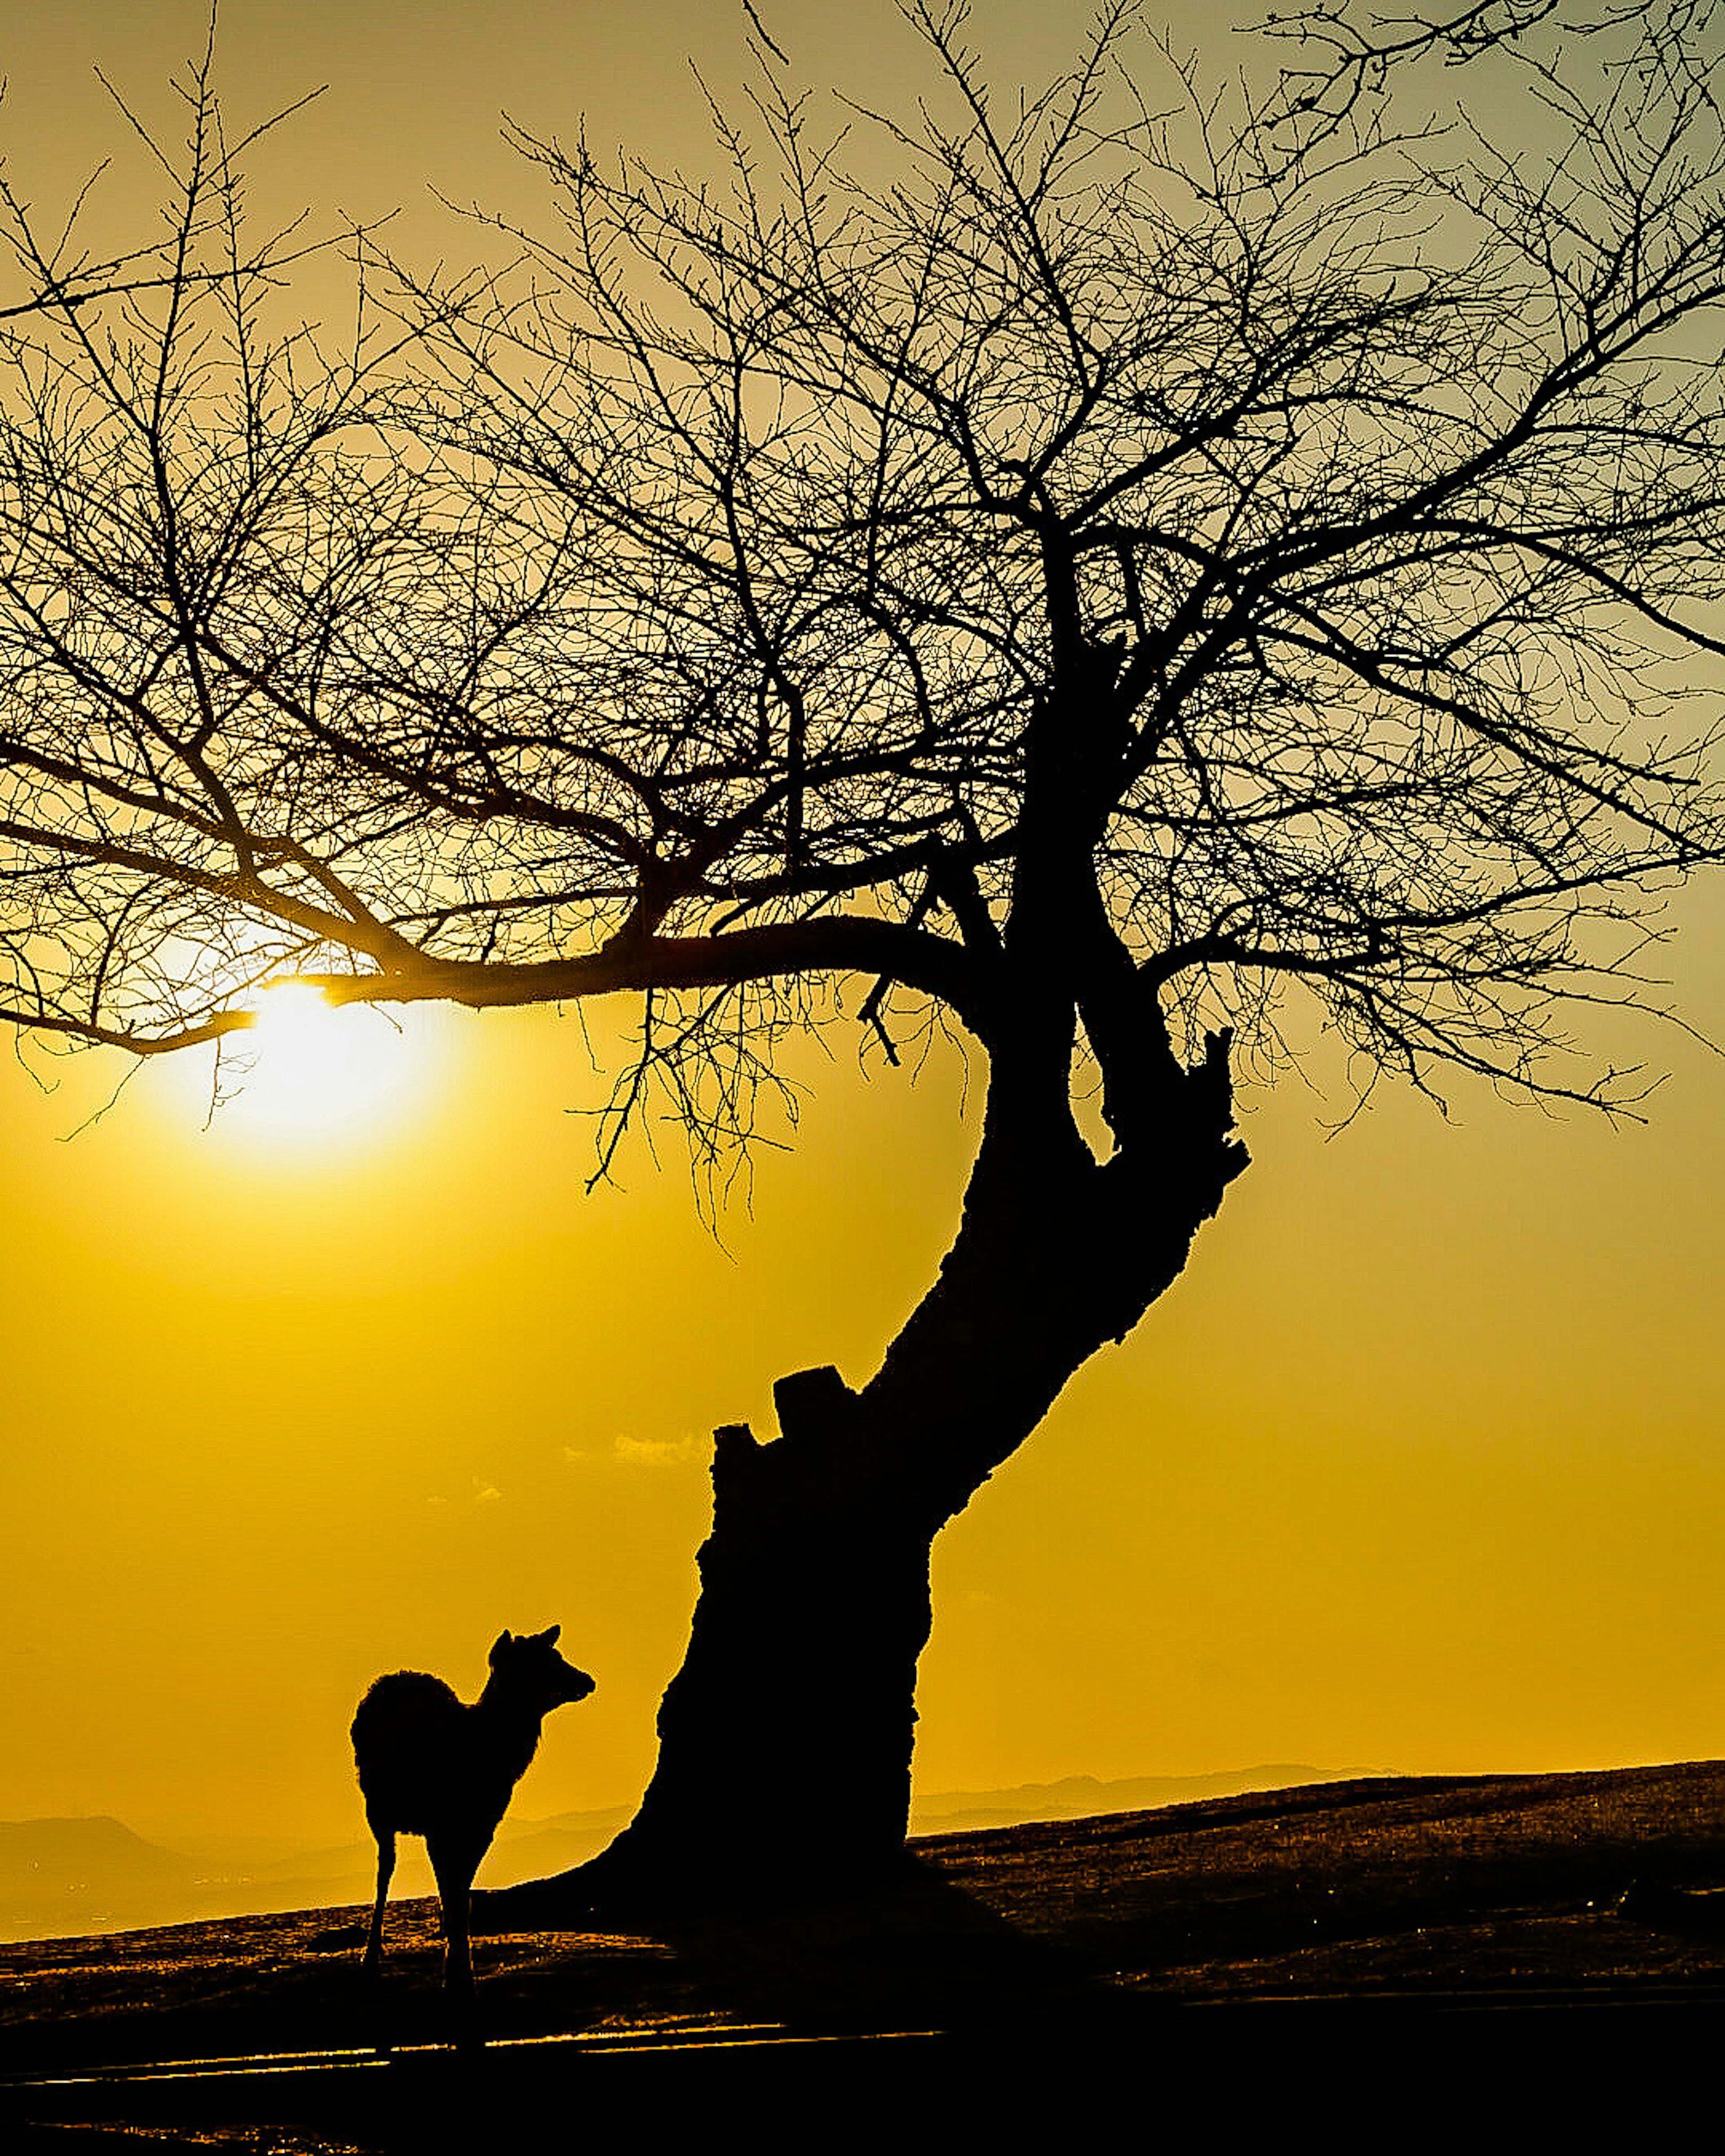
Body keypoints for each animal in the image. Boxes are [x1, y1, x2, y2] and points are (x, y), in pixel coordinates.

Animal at [349, 1621, 595, 1992]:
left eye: (556, 1654)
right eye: (543, 1662)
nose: (587, 1680)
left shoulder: (483, 1826)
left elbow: (462, 1892)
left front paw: (462, 1971)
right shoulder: (440, 1824)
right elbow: (449, 1888)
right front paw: (455, 1973)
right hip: (377, 1809)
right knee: (385, 1869)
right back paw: (370, 1958)